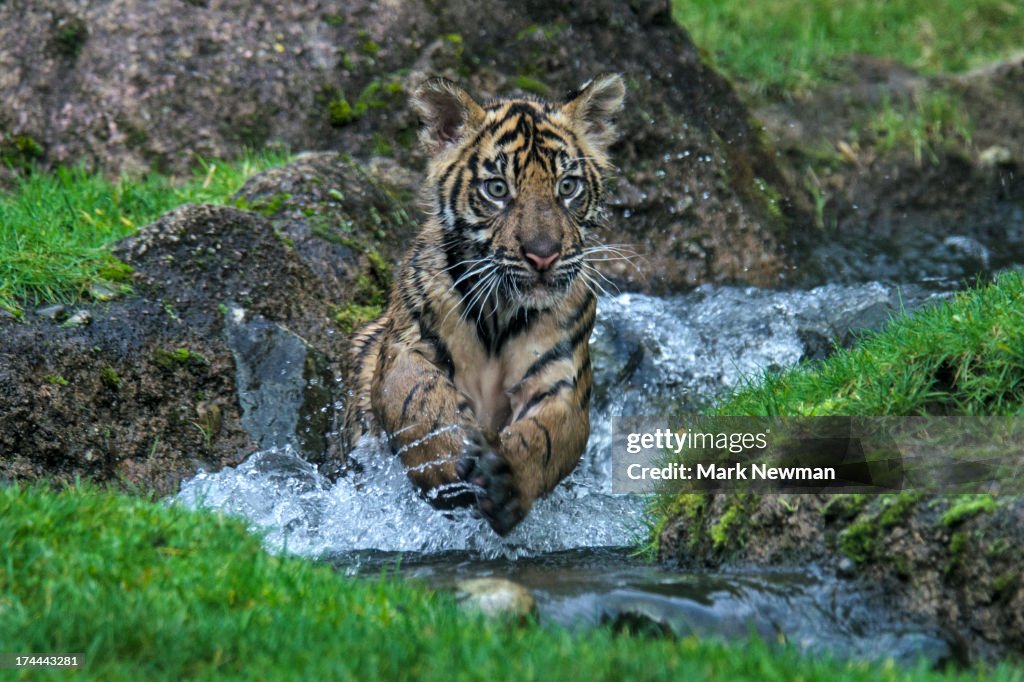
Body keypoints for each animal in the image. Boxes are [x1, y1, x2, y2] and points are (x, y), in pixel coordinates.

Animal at [342, 74, 626, 535]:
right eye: (497, 189)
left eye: (567, 187)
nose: (543, 255)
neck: (500, 312)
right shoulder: (407, 348)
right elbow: (420, 404)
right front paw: (447, 468)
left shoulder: (560, 378)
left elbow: (546, 436)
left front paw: (504, 477)